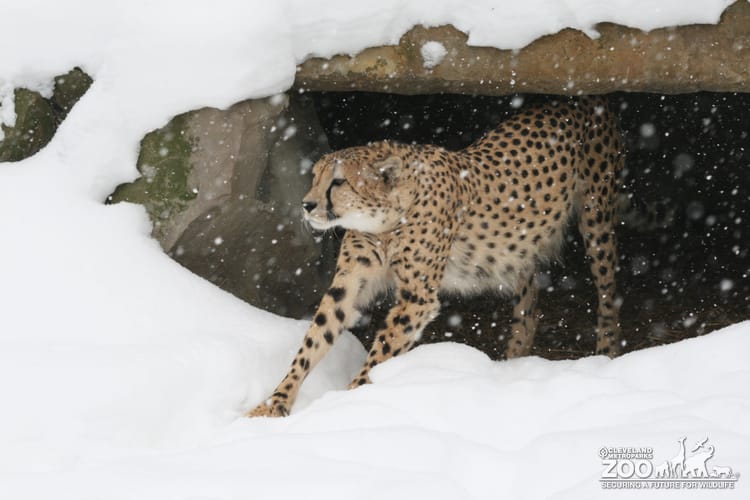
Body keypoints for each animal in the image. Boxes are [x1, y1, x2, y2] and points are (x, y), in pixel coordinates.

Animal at [249, 97, 624, 417]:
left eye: (338, 182)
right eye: (314, 177)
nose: (307, 204)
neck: (384, 220)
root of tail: (576, 98)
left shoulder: (417, 298)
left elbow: (382, 350)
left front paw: (349, 399)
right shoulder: (349, 285)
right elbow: (316, 337)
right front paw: (275, 403)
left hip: (596, 219)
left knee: (607, 291)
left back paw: (607, 352)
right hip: (519, 248)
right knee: (529, 303)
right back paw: (512, 362)